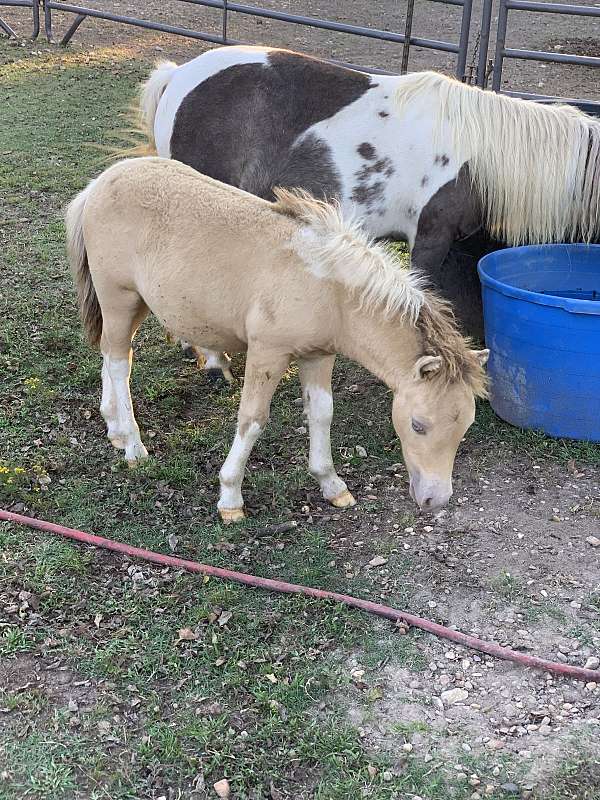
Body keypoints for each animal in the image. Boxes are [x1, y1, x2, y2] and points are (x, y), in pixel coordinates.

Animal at [67, 159, 488, 520]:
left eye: (466, 424)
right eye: (418, 425)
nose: (435, 499)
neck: (327, 286)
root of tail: (99, 183)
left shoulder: (318, 355)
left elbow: (322, 413)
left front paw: (332, 485)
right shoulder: (267, 353)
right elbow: (253, 419)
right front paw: (230, 497)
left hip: (135, 304)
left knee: (113, 354)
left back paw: (114, 427)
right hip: (118, 297)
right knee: (119, 363)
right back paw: (134, 446)